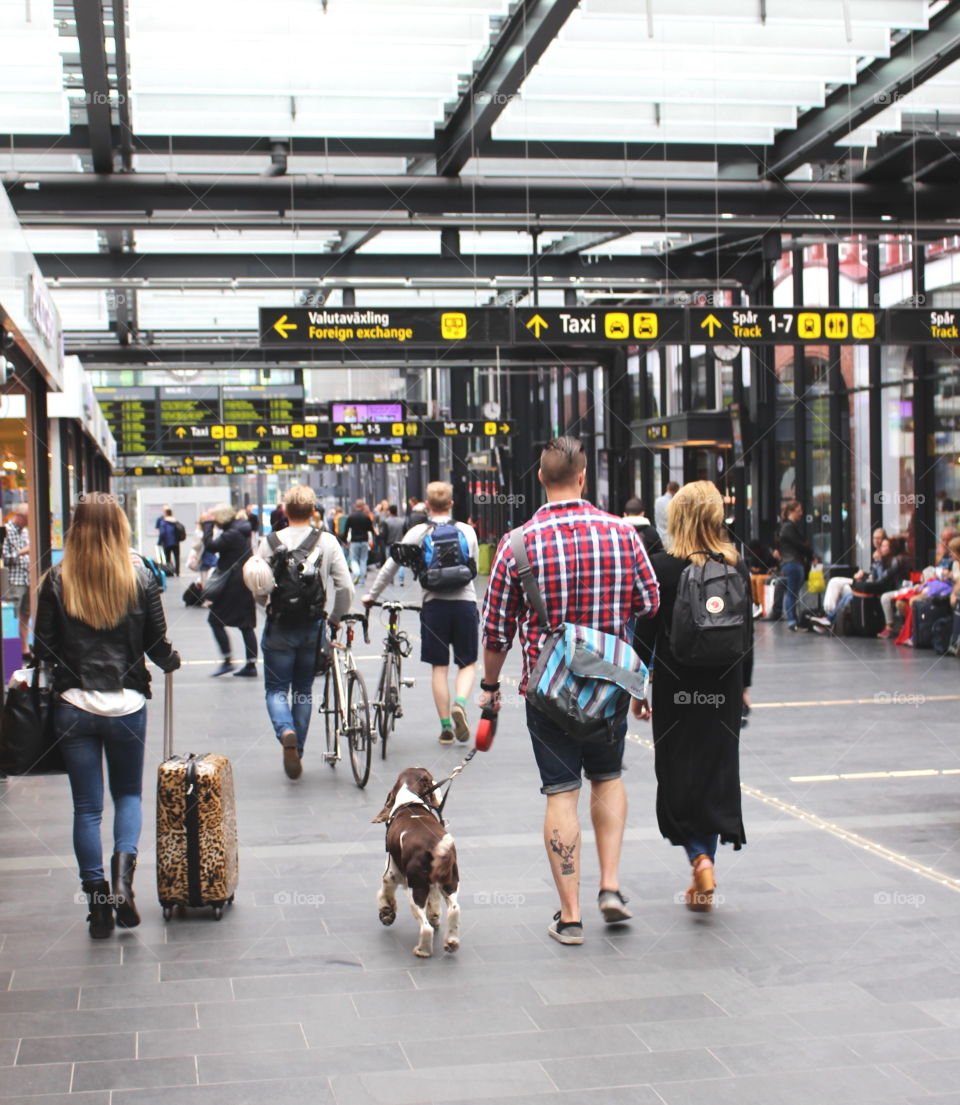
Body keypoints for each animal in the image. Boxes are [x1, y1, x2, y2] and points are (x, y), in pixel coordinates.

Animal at [371, 769, 461, 959]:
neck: (410, 798)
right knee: (454, 909)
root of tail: (432, 845)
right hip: (450, 881)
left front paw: (386, 913)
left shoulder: (392, 871)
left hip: (415, 888)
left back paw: (423, 950)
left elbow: (385, 892)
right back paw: (451, 942)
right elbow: (434, 902)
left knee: (425, 927)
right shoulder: (434, 883)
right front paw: (435, 916)